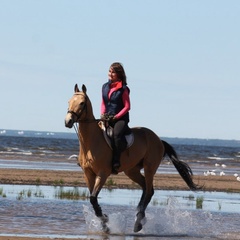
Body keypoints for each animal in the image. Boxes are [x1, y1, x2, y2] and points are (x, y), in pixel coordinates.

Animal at [64, 84, 201, 232]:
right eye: (69, 101)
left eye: (82, 103)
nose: (68, 121)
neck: (91, 141)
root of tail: (159, 139)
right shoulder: (88, 174)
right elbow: (92, 198)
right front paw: (104, 222)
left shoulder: (103, 173)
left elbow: (93, 198)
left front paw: (105, 221)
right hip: (132, 171)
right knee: (146, 188)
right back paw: (139, 216)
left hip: (149, 168)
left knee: (149, 191)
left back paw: (138, 222)